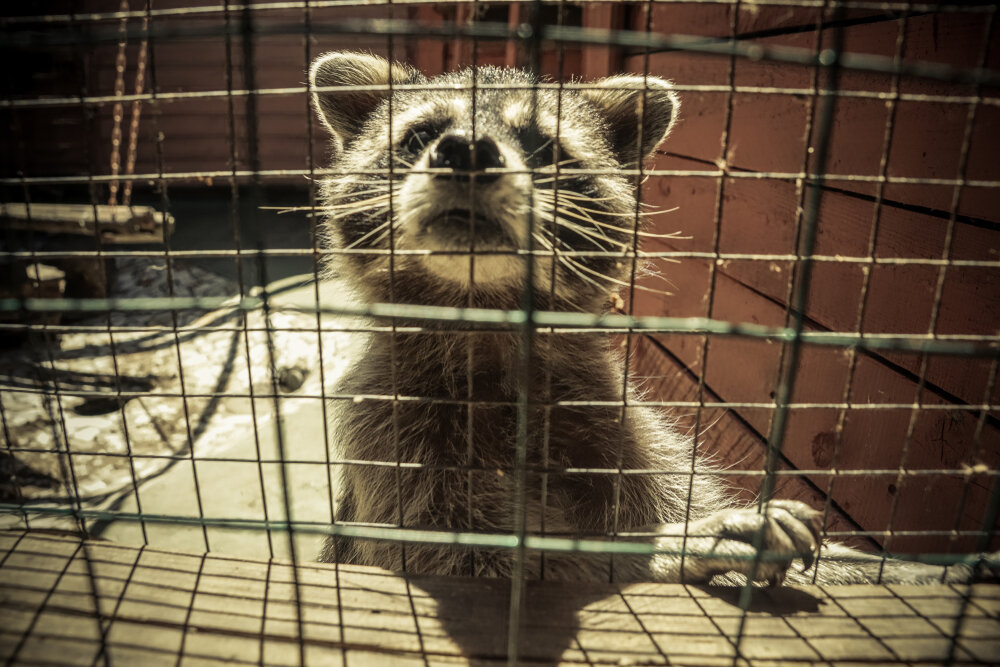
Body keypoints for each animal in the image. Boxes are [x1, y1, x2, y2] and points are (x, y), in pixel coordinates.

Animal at [309, 51, 974, 585]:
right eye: (420, 135)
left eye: (542, 146)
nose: (465, 152)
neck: (485, 310)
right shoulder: (390, 433)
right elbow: (467, 556)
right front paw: (657, 549)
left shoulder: (611, 422)